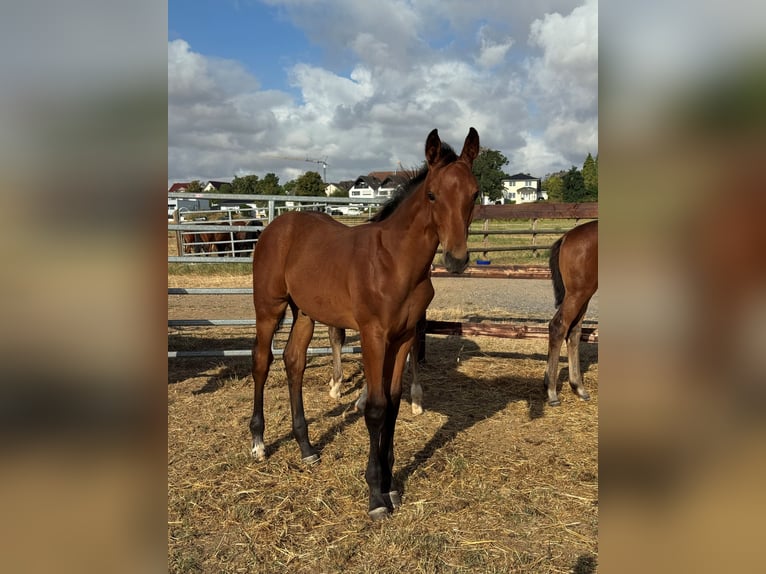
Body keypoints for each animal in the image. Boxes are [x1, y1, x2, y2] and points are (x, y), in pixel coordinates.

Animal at [250, 127, 480, 520]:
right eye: (432, 194)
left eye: (475, 194)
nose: (456, 259)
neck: (394, 262)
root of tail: (278, 223)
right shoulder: (374, 335)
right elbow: (375, 408)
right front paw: (375, 496)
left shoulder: (402, 338)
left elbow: (393, 404)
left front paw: (391, 485)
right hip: (269, 308)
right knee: (262, 362)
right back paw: (259, 443)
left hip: (305, 312)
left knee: (293, 362)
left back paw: (306, 448)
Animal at [543, 220, 598, 406]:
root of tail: (567, 237)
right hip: (578, 292)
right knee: (558, 326)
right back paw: (552, 392)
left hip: (584, 293)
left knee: (574, 330)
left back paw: (578, 387)